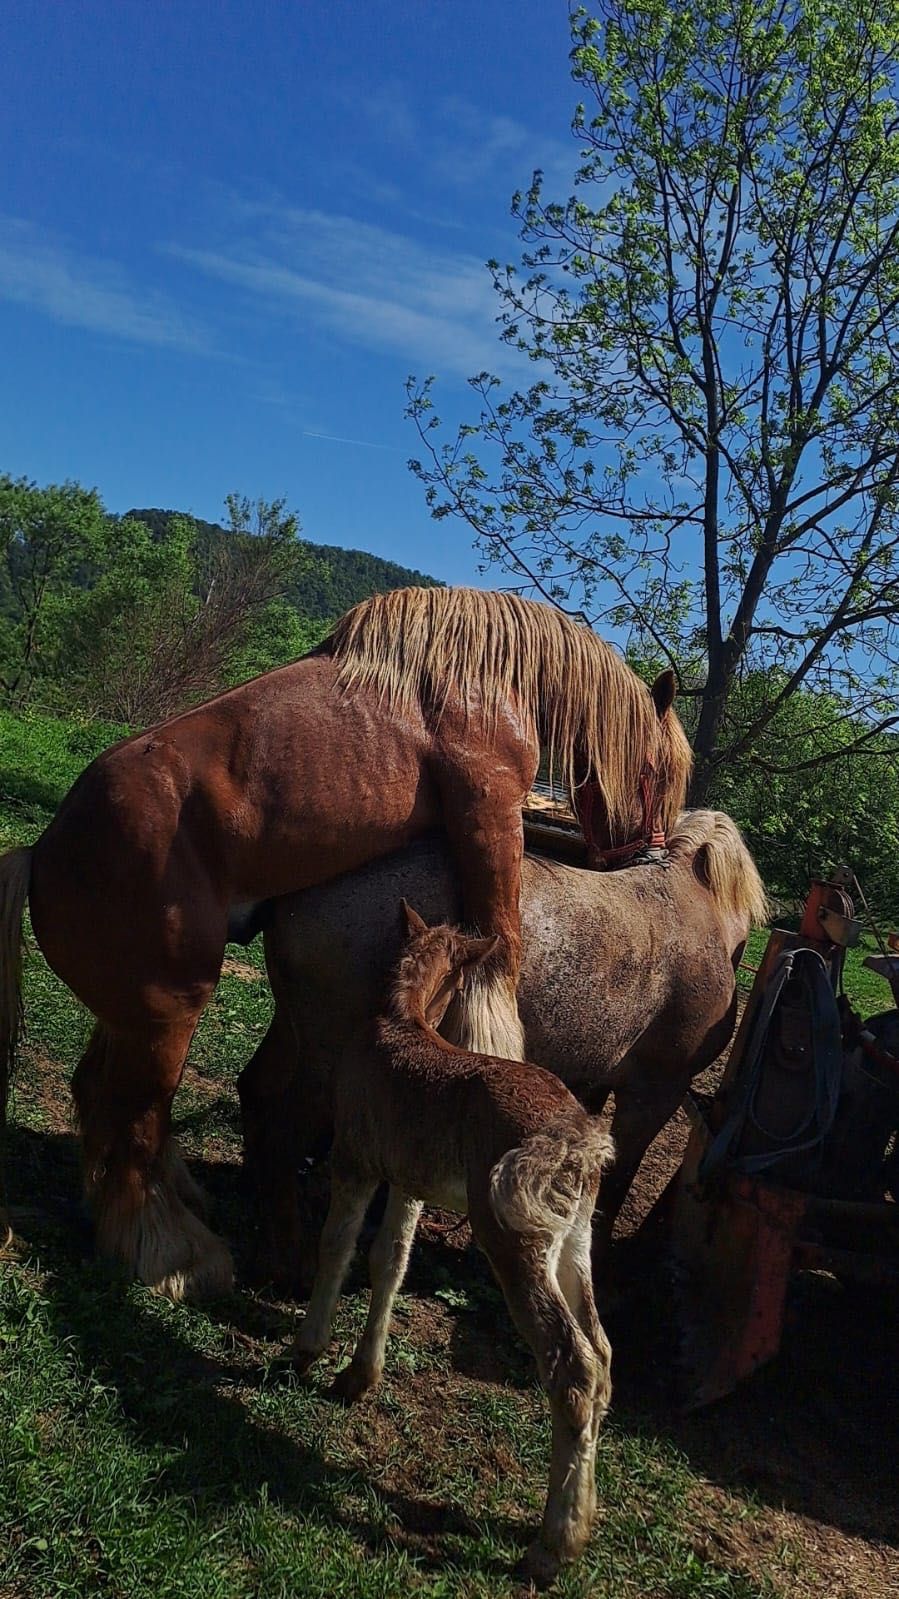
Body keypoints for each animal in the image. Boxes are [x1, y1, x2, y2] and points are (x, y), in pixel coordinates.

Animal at [0, 588, 687, 1298]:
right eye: (660, 772)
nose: (649, 860)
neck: (483, 684)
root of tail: (44, 851)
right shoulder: (490, 820)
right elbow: (501, 952)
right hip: (168, 1013)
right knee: (138, 1122)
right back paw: (176, 1256)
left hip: (130, 1013)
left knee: (99, 1098)